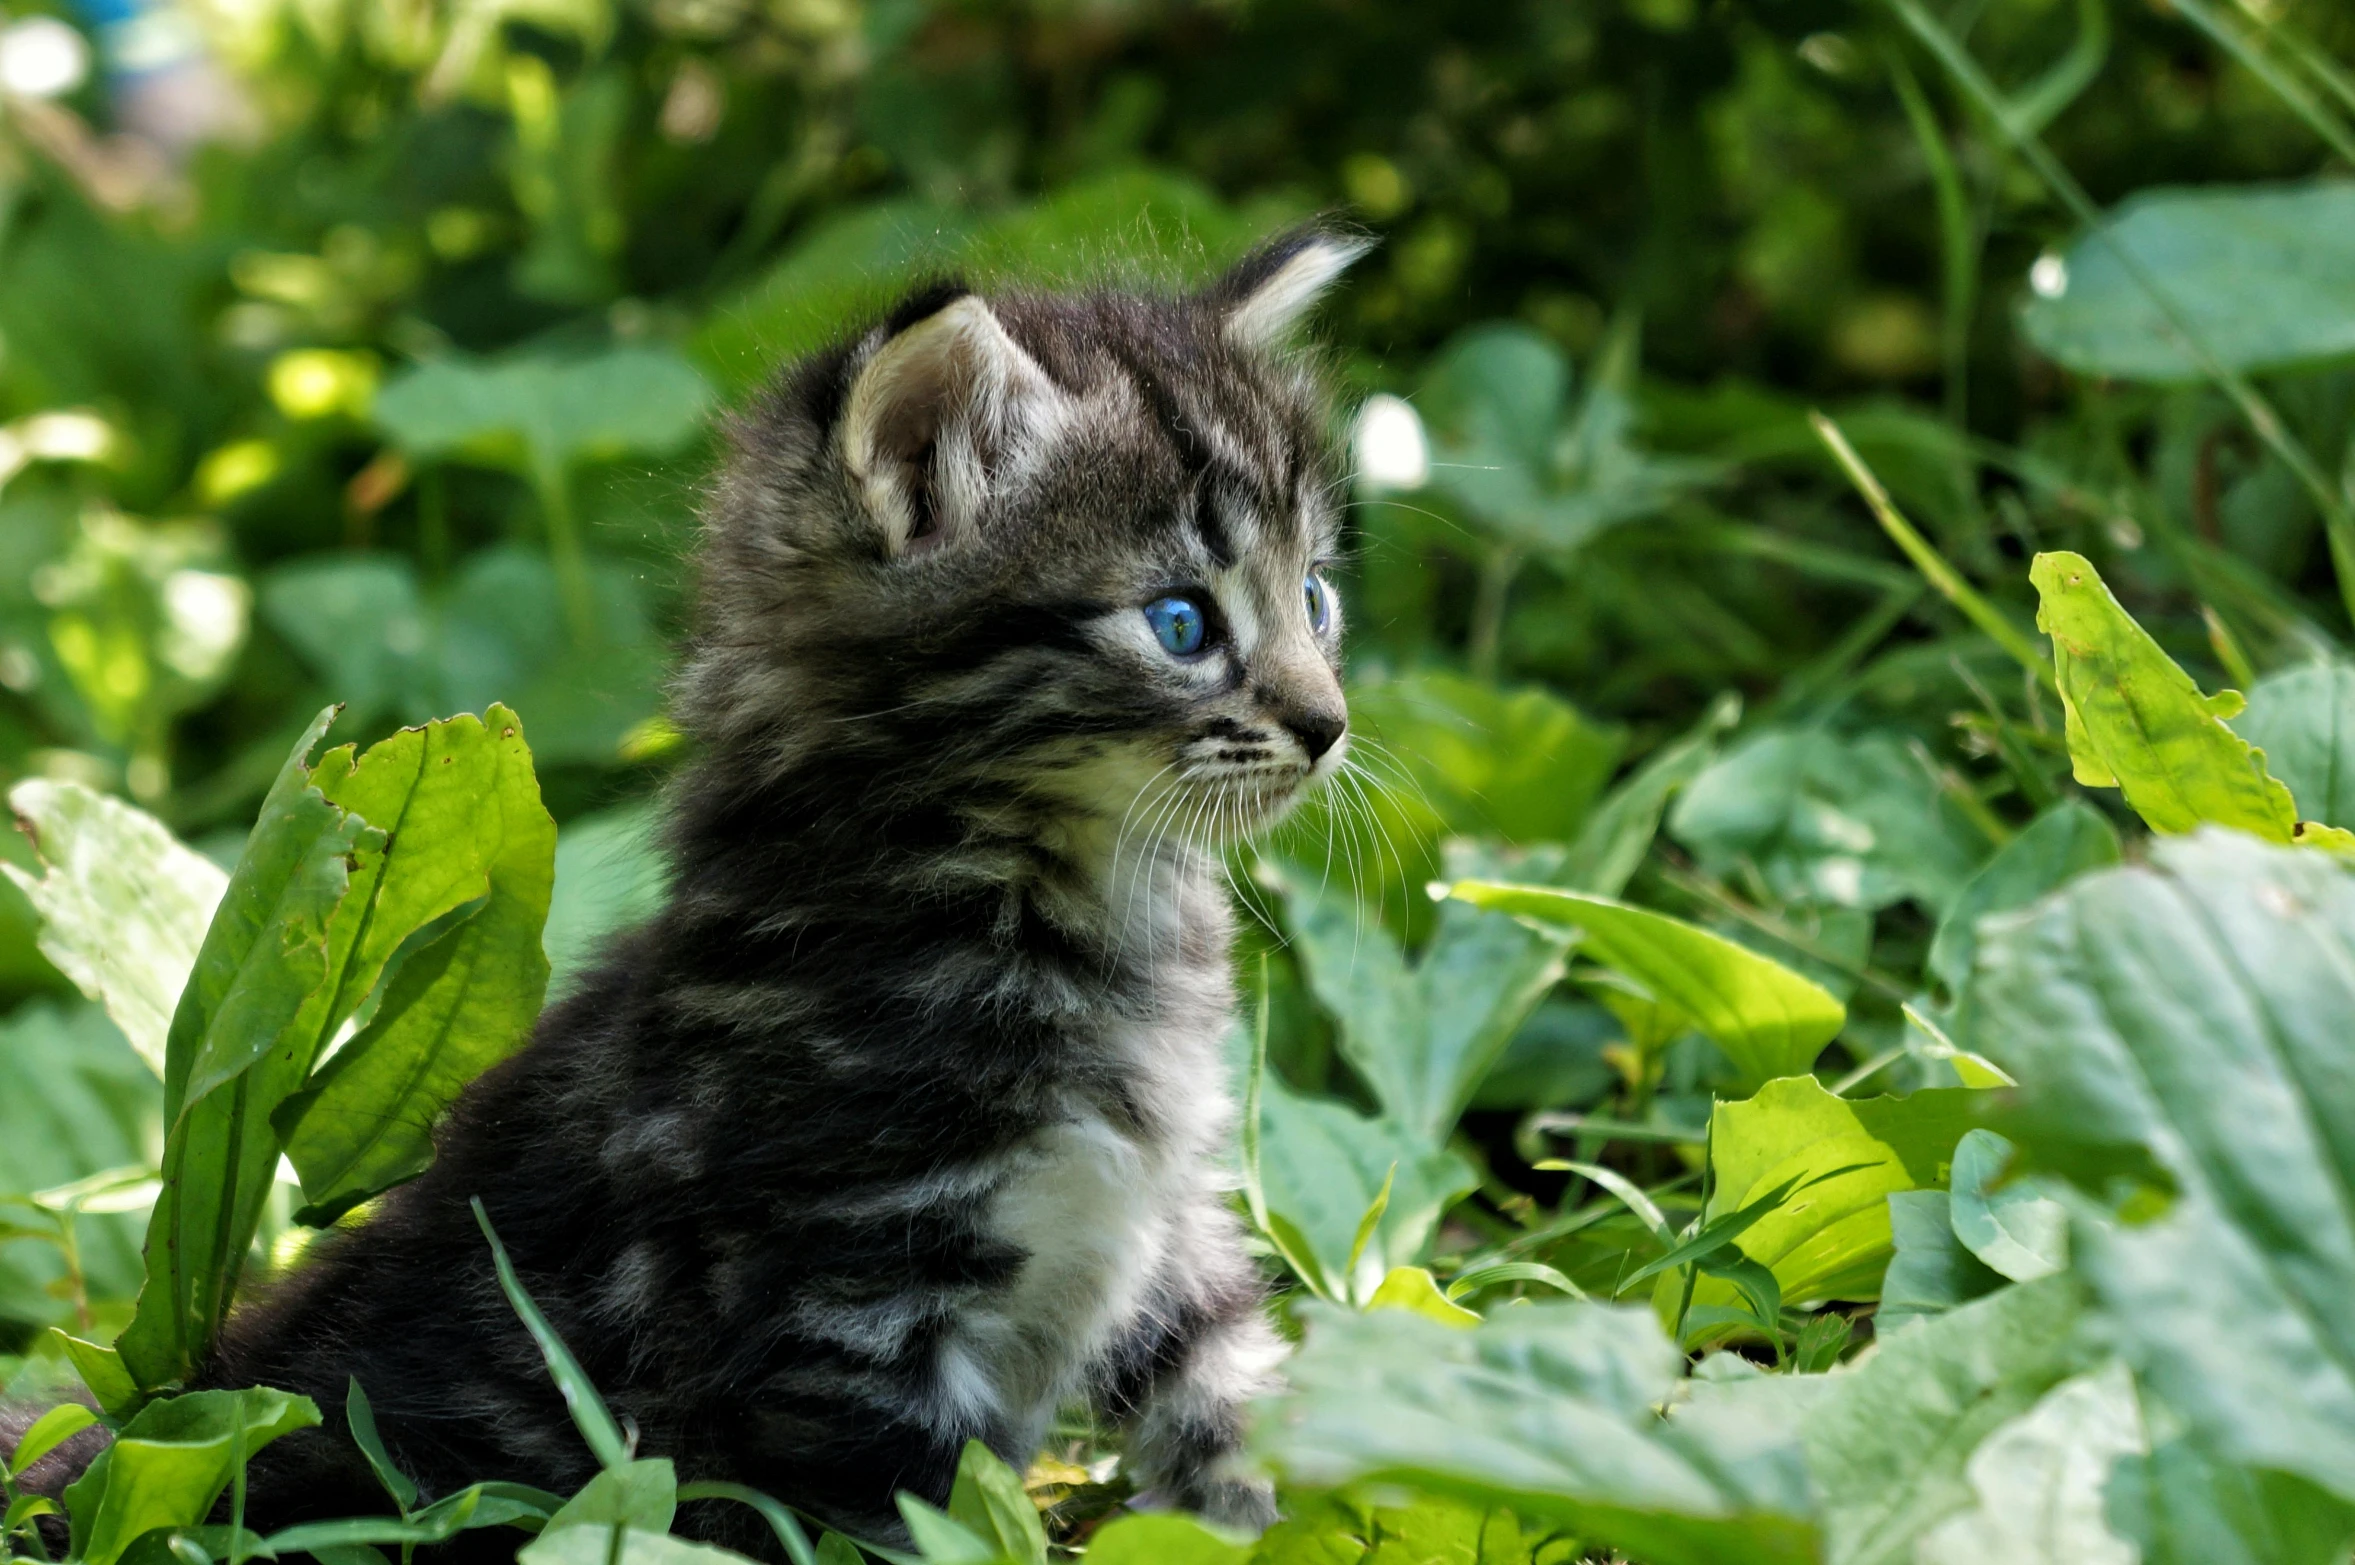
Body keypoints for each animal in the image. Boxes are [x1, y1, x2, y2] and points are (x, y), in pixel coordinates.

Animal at [204, 225, 1375, 1543]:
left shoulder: (1169, 1230)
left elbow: (1231, 1419)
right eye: (1181, 622)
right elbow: (915, 1526)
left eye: (1315, 595)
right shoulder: (848, 1317)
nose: (1329, 725)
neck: (1067, 897)